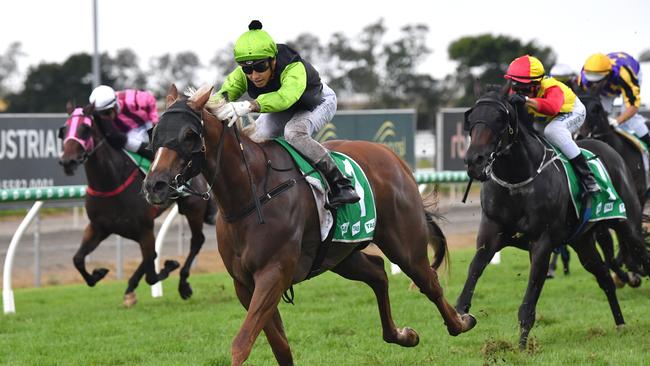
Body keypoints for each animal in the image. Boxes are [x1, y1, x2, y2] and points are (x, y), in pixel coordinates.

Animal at [57, 103, 210, 306]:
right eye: (64, 130)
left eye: (85, 129)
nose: (67, 161)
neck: (110, 183)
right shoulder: (98, 227)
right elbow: (78, 259)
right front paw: (98, 273)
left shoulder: (144, 228)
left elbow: (152, 274)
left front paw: (170, 265)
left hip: (193, 208)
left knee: (197, 240)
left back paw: (183, 283)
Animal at [142, 84, 474, 364]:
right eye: (155, 132)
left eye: (189, 135)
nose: (155, 184)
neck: (252, 193)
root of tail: (393, 156)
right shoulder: (245, 283)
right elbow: (279, 345)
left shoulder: (273, 274)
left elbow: (242, 342)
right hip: (339, 254)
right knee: (378, 273)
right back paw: (405, 335)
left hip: (404, 243)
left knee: (429, 282)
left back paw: (461, 321)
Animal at [456, 90, 648, 348]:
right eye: (472, 118)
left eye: (499, 118)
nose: (474, 161)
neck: (518, 180)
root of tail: (609, 149)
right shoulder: (491, 231)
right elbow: (474, 268)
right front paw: (460, 314)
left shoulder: (542, 242)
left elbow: (530, 298)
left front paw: (522, 347)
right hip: (582, 241)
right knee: (604, 276)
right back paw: (620, 323)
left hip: (627, 223)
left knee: (641, 253)